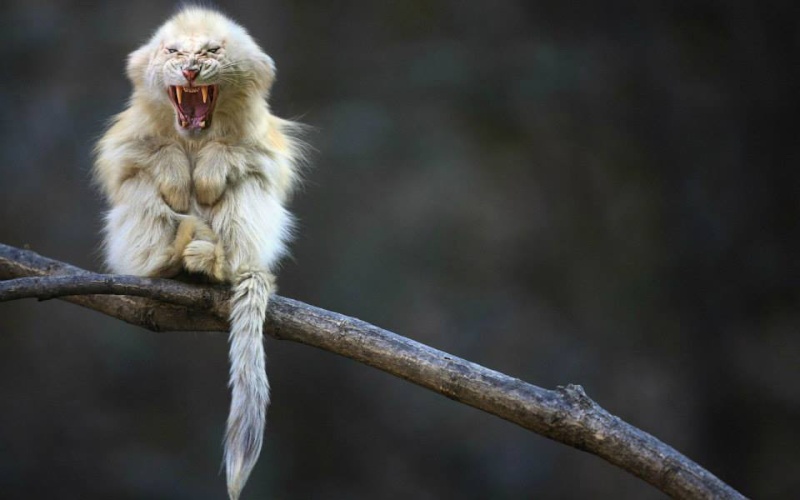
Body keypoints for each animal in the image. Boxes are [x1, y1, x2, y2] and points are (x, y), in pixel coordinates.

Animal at [93, 7, 304, 500]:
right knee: (140, 188)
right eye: (173, 51)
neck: (194, 133)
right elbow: (129, 161)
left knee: (247, 187)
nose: (190, 69)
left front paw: (209, 172)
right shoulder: (128, 138)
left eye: (211, 51)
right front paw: (174, 173)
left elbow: (259, 162)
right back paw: (168, 260)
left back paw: (215, 264)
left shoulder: (264, 142)